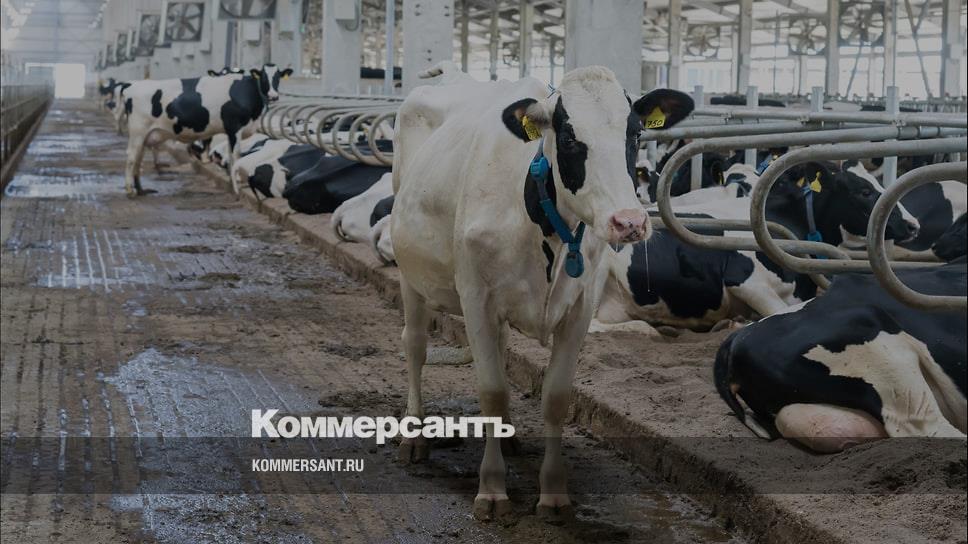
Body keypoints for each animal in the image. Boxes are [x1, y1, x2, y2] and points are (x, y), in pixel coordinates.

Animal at [121, 63, 292, 196]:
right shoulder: (235, 127)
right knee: (131, 157)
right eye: (263, 77)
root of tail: (132, 86)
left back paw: (141, 190)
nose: (273, 95)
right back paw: (130, 190)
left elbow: (230, 154)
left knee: (138, 158)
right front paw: (237, 181)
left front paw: (232, 179)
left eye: (278, 76)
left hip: (145, 135)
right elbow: (236, 154)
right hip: (138, 131)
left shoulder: (230, 131)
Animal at [390, 64, 693, 520]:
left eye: (635, 133)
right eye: (568, 138)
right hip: (411, 272)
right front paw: (492, 490)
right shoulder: (475, 297)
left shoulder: (580, 308)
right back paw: (415, 437)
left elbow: (555, 398)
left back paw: (509, 436)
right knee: (415, 346)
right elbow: (493, 391)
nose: (629, 222)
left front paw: (553, 493)